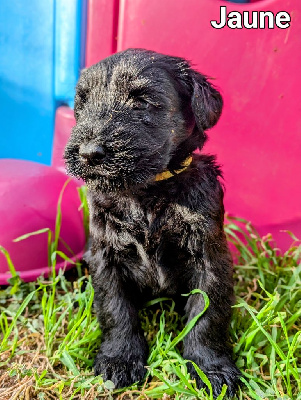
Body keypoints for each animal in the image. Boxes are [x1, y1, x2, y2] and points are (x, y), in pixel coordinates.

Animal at [64, 49, 240, 396]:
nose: (89, 153)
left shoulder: (209, 259)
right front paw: (119, 360)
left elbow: (207, 315)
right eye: (83, 103)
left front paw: (210, 369)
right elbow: (115, 310)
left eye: (142, 101)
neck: (146, 192)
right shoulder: (105, 258)